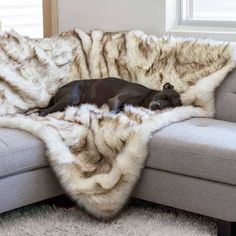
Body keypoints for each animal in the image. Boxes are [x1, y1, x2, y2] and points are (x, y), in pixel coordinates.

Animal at [38, 77, 183, 116]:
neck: (145, 96)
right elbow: (113, 112)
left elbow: (118, 110)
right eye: (164, 96)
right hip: (71, 98)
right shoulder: (115, 100)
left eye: (171, 106)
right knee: (44, 111)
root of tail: (58, 90)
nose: (158, 106)